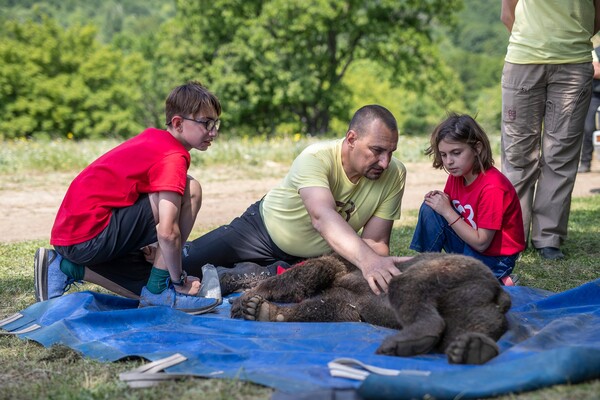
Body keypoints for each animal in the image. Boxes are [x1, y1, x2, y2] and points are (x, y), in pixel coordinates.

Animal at [230, 253, 510, 366]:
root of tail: (498, 291)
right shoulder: (343, 301)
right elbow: (333, 309)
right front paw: (262, 310)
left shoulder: (336, 266)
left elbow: (307, 272)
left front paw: (249, 297)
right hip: (471, 300)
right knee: (465, 326)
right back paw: (474, 347)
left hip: (447, 268)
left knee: (408, 286)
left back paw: (410, 336)